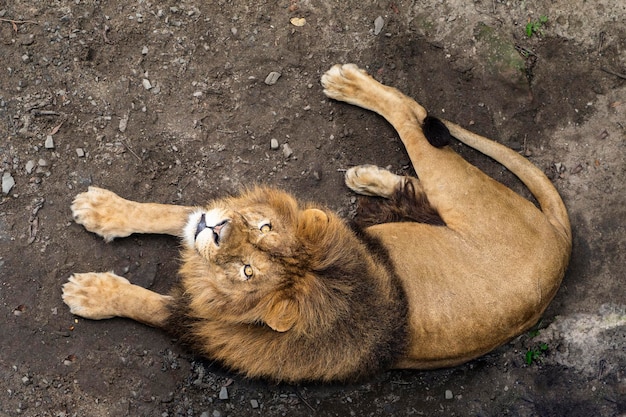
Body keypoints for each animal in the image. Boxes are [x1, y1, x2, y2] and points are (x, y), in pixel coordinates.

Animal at [62, 64, 572, 384]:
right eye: (264, 228)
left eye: (249, 270)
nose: (216, 231)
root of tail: (562, 247)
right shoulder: (205, 222)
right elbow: (170, 212)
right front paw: (103, 209)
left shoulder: (204, 327)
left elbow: (147, 303)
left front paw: (90, 293)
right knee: (417, 147)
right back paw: (367, 174)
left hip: (458, 191)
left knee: (413, 116)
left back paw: (349, 84)